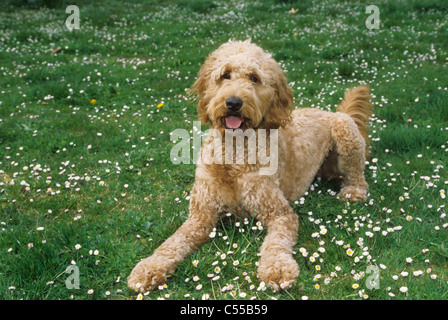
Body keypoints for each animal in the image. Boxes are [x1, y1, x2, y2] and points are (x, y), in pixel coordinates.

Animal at [128, 38, 372, 292]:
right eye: (225, 75)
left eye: (254, 78)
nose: (233, 103)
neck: (233, 154)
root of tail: (331, 112)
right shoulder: (200, 216)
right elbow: (173, 241)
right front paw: (150, 267)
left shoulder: (279, 214)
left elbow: (276, 242)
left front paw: (277, 268)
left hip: (346, 131)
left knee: (357, 175)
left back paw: (353, 191)